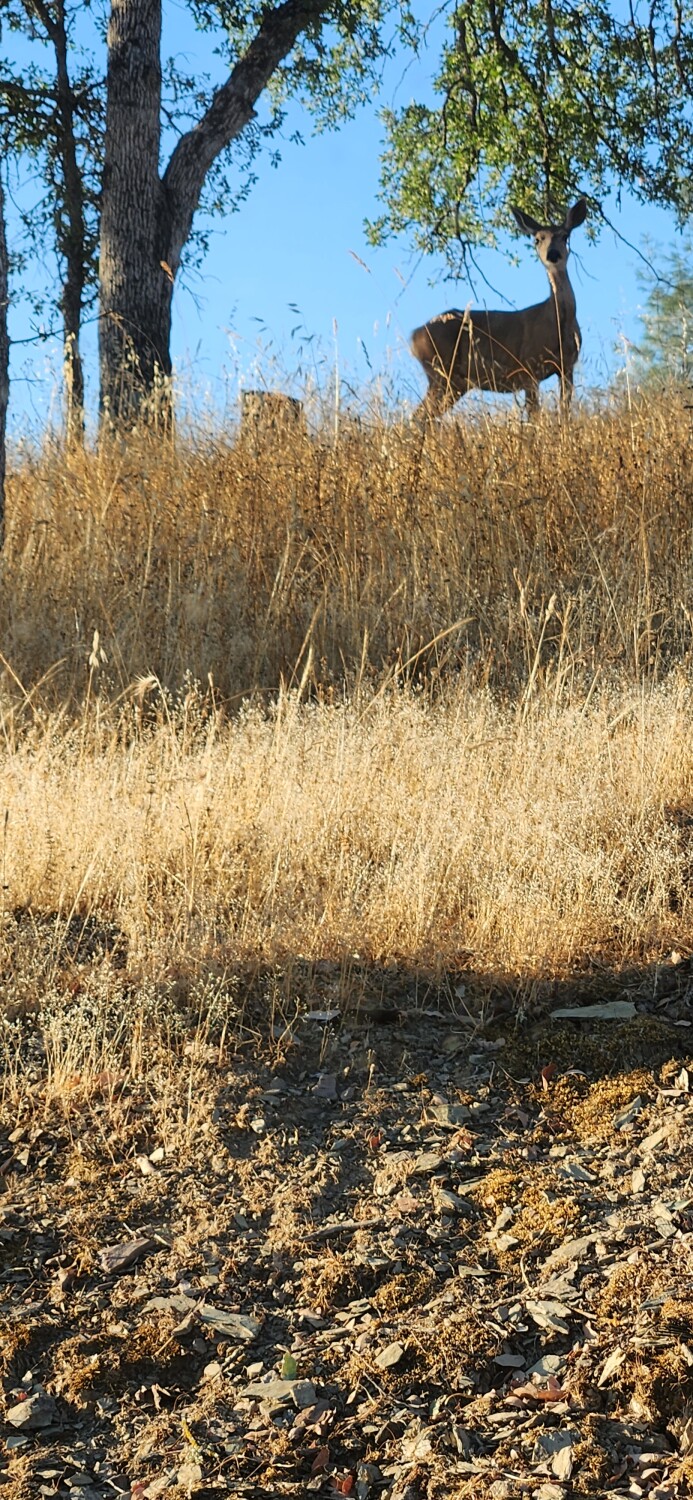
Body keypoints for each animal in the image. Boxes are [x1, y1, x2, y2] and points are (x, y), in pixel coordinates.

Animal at [410, 198, 588, 420]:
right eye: (537, 239)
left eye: (565, 236)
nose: (553, 254)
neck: (558, 322)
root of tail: (413, 337)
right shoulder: (528, 367)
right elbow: (534, 415)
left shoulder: (567, 367)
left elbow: (564, 411)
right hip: (441, 372)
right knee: (417, 416)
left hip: (454, 382)